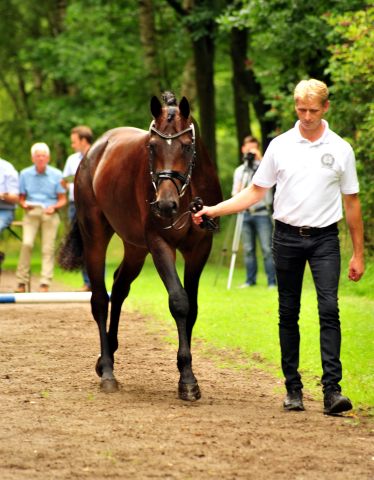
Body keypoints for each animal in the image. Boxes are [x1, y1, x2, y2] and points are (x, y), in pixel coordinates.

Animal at [57, 92, 224, 400]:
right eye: (152, 146)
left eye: (186, 146)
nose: (165, 205)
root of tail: (96, 150)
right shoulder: (160, 245)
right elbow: (179, 301)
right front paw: (187, 378)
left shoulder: (199, 249)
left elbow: (193, 308)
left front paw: (187, 373)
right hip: (95, 238)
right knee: (100, 299)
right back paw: (108, 372)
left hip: (135, 248)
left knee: (119, 287)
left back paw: (106, 358)